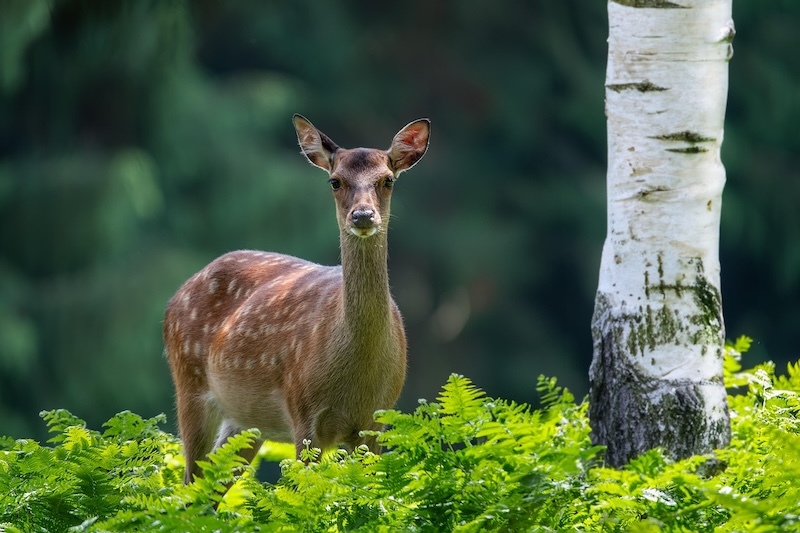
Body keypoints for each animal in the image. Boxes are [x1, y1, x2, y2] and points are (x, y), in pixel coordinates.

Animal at [164, 114, 430, 484]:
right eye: (335, 181)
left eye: (388, 179)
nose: (363, 216)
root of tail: (175, 298)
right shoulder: (302, 412)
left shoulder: (376, 421)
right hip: (188, 380)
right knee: (189, 483)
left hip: (245, 421)